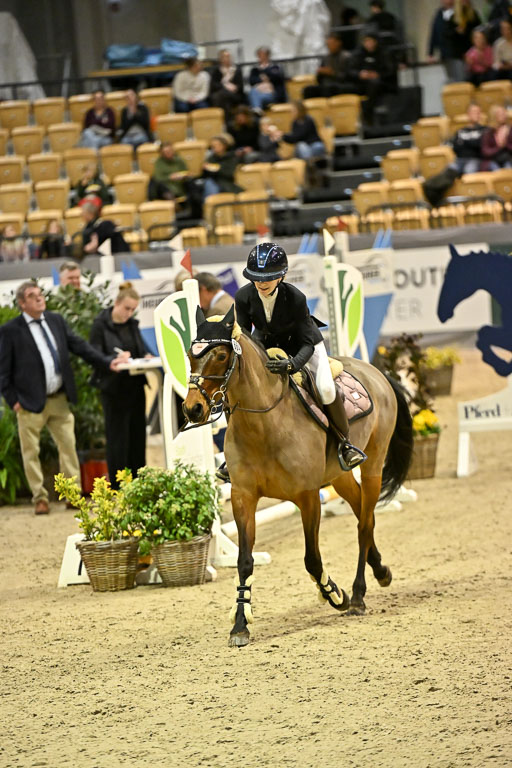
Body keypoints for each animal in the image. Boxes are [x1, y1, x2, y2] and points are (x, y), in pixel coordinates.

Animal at [183, 306, 413, 647]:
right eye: (190, 354)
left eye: (222, 355)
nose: (193, 409)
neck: (263, 425)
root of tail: (375, 371)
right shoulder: (243, 497)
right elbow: (244, 560)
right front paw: (240, 624)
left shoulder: (307, 497)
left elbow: (312, 559)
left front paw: (335, 594)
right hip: (339, 476)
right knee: (363, 513)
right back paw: (380, 570)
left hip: (373, 464)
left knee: (364, 524)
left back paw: (358, 595)